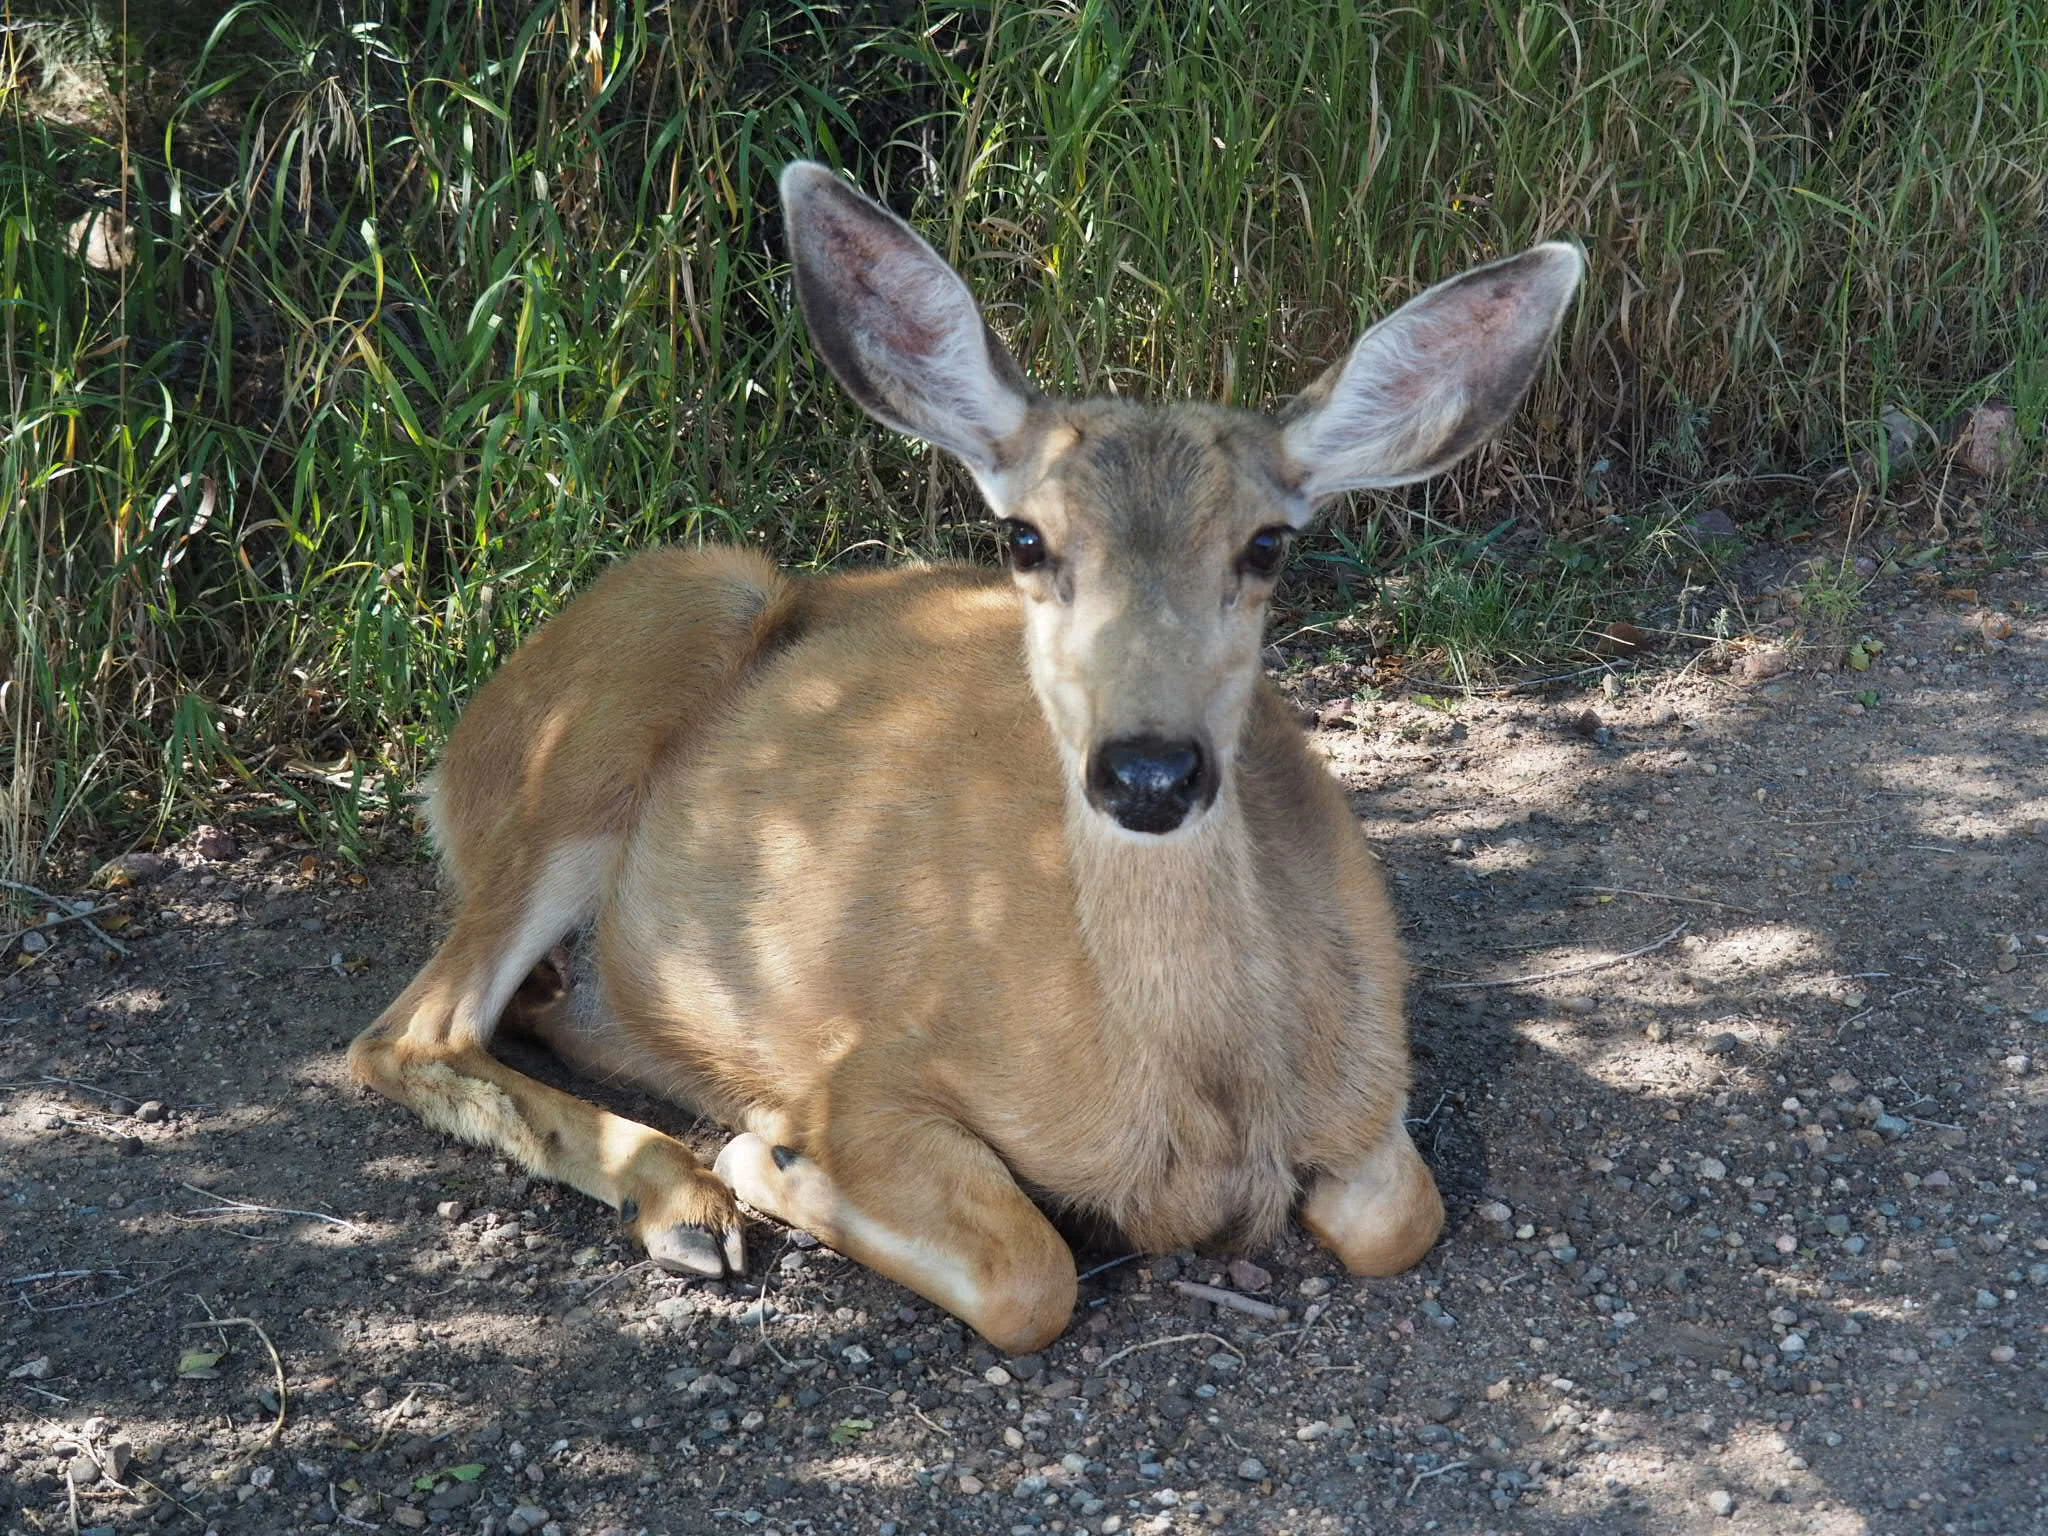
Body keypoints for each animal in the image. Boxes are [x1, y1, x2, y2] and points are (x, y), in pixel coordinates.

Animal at [348, 161, 1583, 1353]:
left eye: (1267, 544)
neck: (1202, 1110)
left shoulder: (1375, 1080)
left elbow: (1399, 1217)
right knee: (404, 1034)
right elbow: (1030, 1278)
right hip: (624, 695)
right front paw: (765, 1156)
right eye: (1024, 538)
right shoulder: (867, 1071)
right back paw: (687, 1198)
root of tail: (459, 752)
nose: (1148, 771)